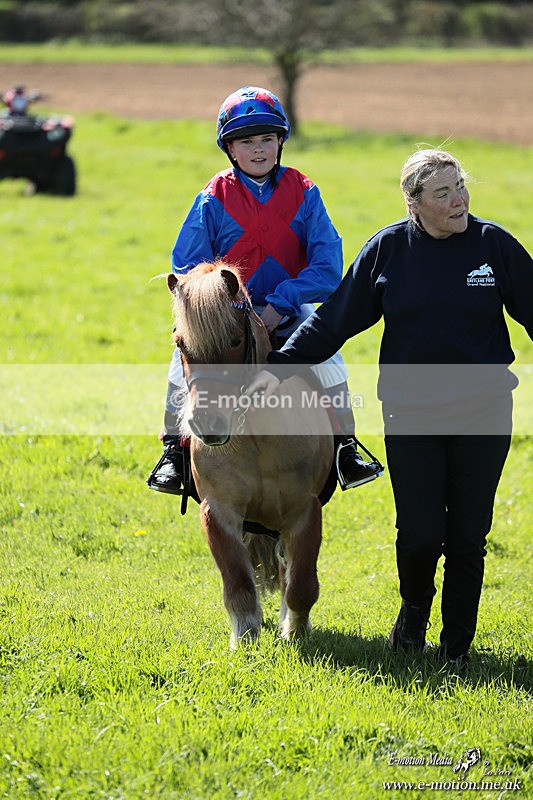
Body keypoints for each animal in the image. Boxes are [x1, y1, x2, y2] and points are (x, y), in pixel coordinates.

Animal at [167, 260, 335, 647]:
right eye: (181, 343)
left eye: (234, 340)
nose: (207, 423)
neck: (256, 437)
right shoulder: (219, 511)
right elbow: (238, 582)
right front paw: (244, 640)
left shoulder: (304, 512)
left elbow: (301, 584)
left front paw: (294, 633)